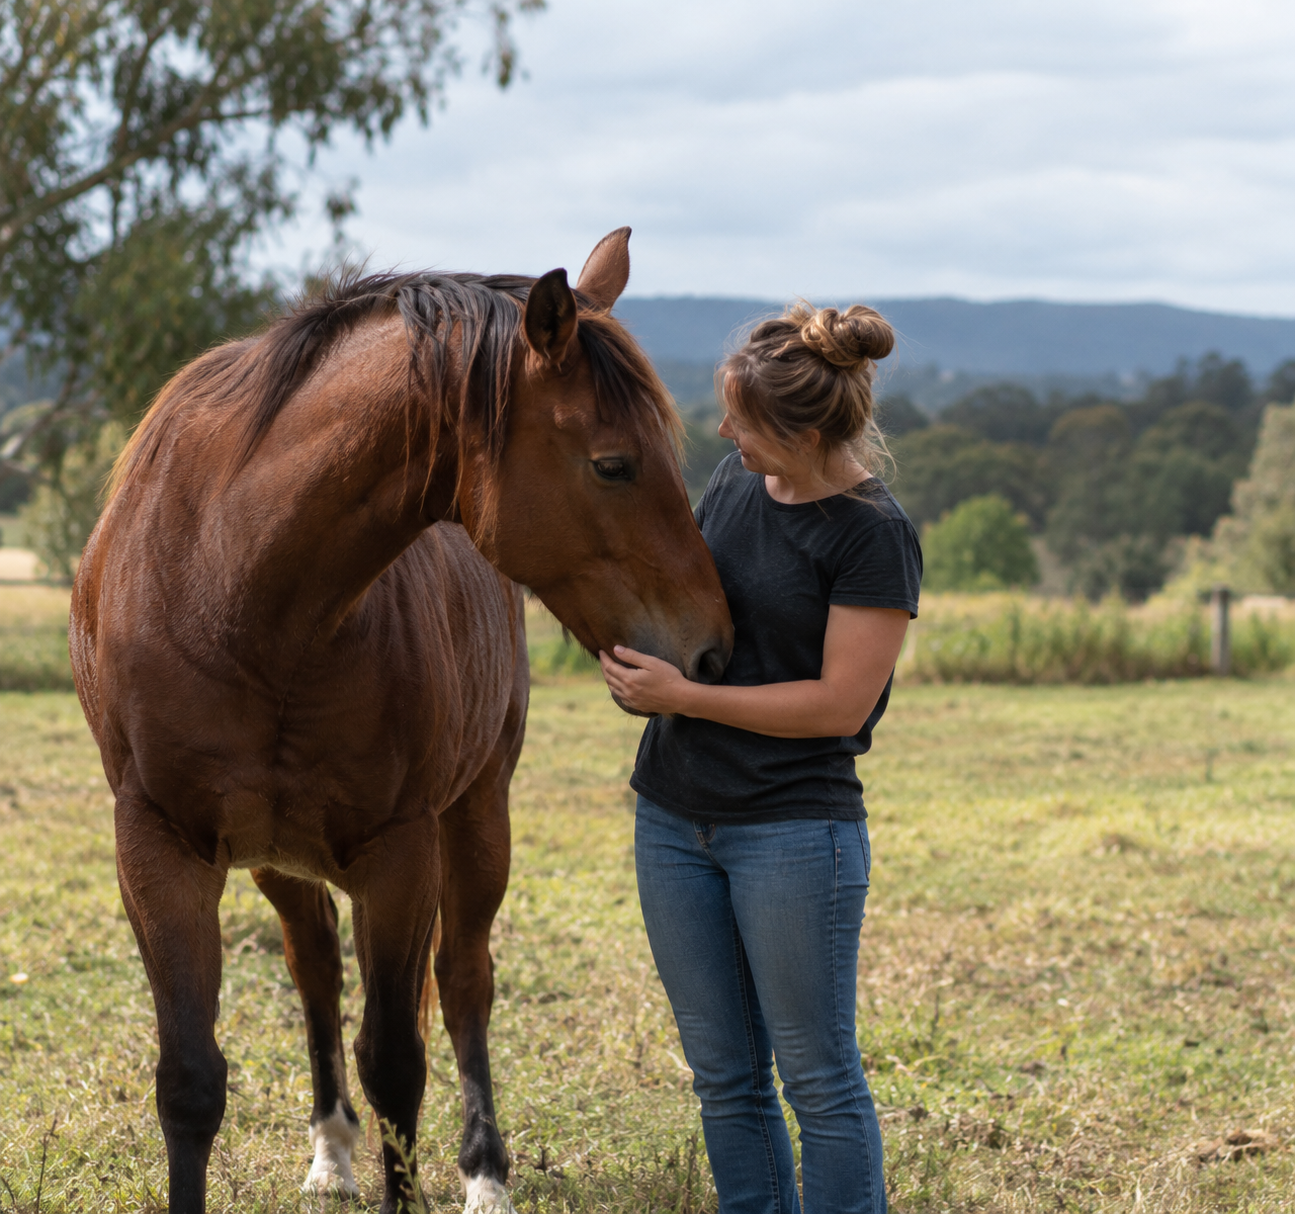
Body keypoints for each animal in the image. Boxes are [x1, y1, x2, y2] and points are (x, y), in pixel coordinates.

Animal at [69, 228, 733, 1214]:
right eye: (614, 463)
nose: (713, 650)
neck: (232, 586)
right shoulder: (158, 848)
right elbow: (189, 1079)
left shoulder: (399, 853)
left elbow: (395, 1062)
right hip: (279, 859)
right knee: (314, 969)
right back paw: (332, 1149)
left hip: (477, 816)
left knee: (462, 982)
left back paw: (484, 1173)